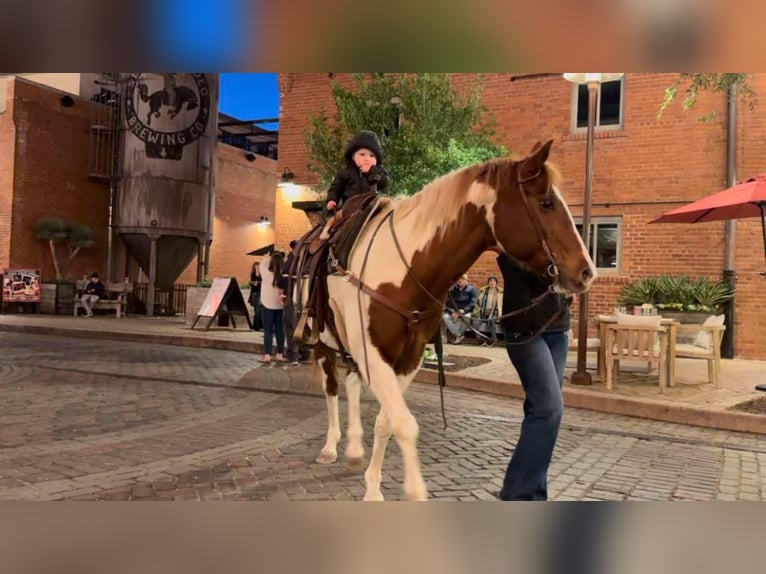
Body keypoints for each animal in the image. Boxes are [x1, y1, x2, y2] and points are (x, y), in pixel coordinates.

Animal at [300, 141, 592, 504]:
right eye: (546, 203)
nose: (587, 271)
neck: (403, 267)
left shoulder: (407, 358)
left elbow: (387, 421)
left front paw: (373, 487)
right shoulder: (374, 354)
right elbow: (404, 423)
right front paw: (410, 489)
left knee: (352, 385)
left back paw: (354, 449)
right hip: (323, 342)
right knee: (331, 388)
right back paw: (330, 447)